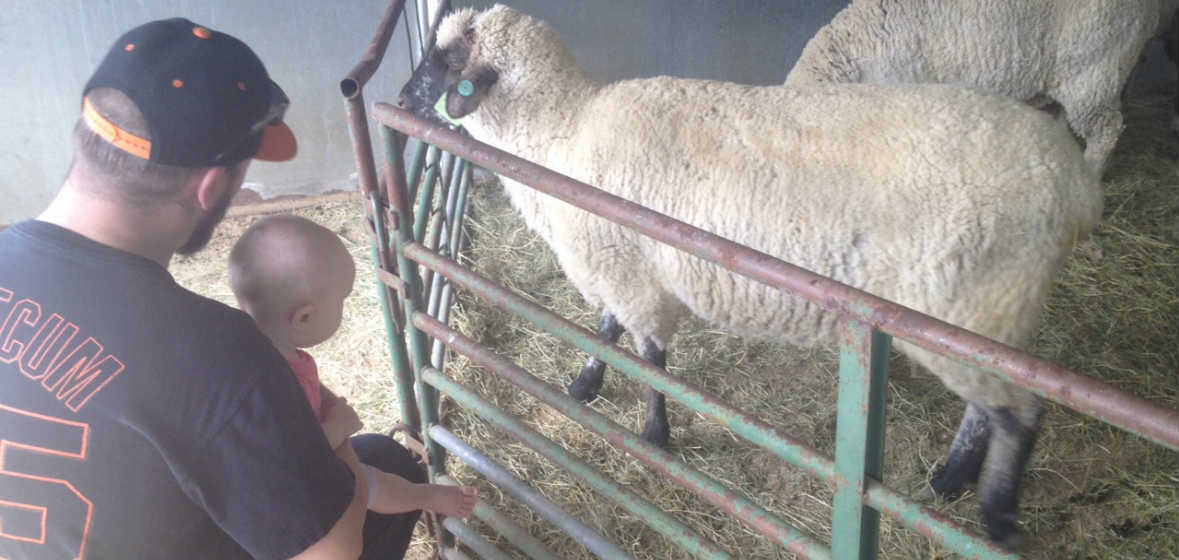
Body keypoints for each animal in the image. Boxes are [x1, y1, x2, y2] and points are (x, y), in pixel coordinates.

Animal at [398, 4, 1103, 547]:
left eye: (443, 58)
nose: (402, 99)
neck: (562, 134)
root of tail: (1071, 184)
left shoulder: (631, 274)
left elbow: (649, 358)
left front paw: (654, 436)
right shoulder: (623, 265)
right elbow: (606, 329)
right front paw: (586, 382)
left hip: (969, 304)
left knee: (1021, 414)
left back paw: (996, 516)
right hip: (986, 317)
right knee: (991, 408)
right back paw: (952, 479)